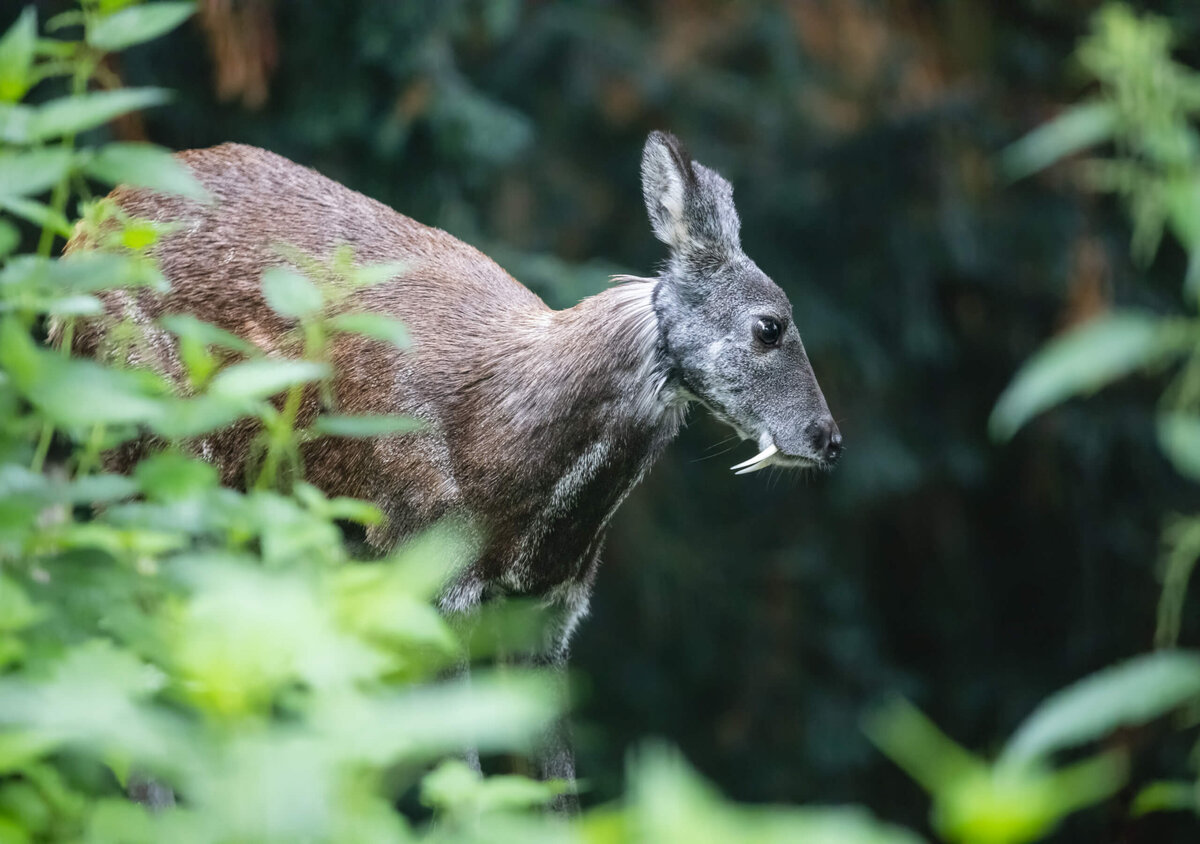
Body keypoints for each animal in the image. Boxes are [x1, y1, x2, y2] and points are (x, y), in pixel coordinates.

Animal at [60, 130, 840, 806]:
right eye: (769, 325)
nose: (828, 438)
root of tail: (79, 235)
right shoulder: (428, 577)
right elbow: (459, 778)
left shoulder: (547, 612)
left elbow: (556, 793)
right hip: (144, 457)